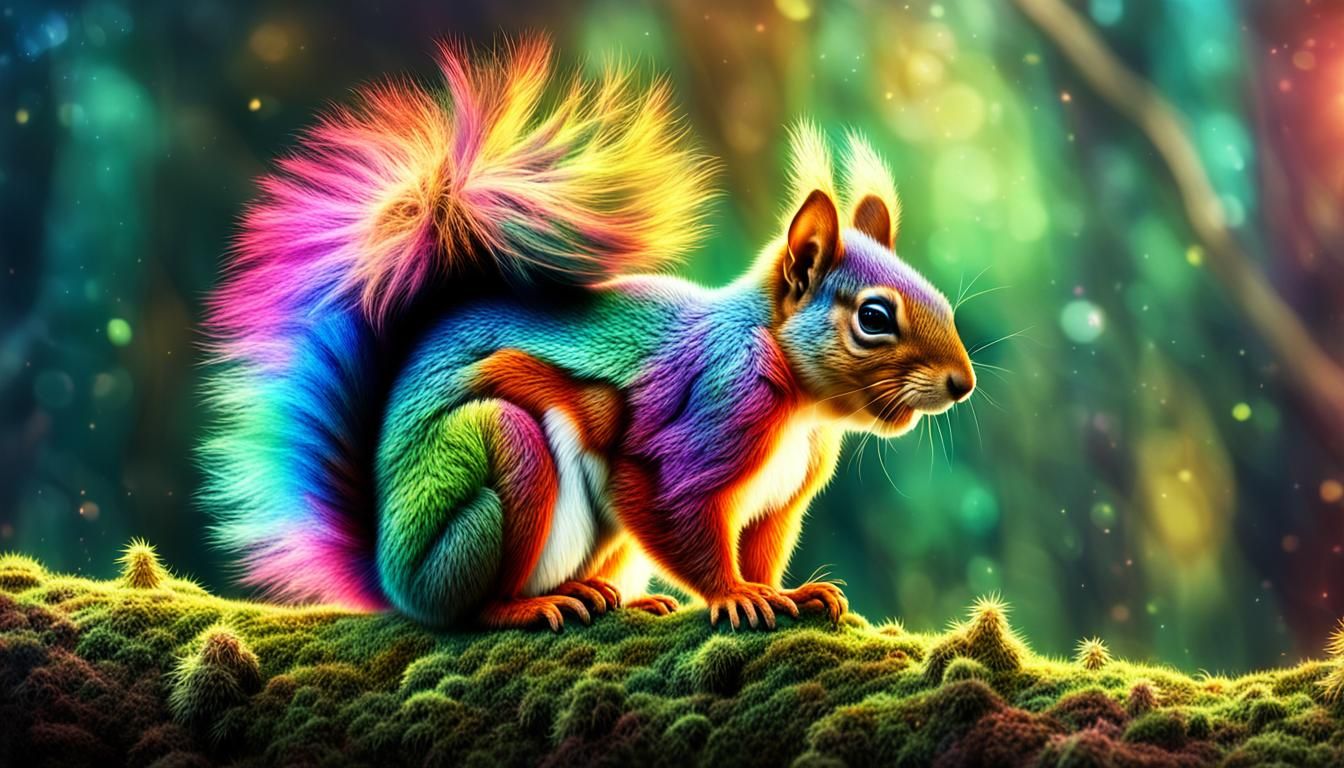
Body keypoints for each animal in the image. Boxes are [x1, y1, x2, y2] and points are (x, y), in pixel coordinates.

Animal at [202, 38, 975, 632]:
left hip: (609, 545)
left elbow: (762, 547)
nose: (961, 384)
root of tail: (390, 575)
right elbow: (677, 508)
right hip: (490, 463)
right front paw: (735, 596)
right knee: (460, 608)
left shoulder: (781, 500)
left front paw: (789, 592)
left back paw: (607, 598)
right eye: (874, 318)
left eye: (940, 298)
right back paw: (522, 608)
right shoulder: (707, 419)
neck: (801, 402)